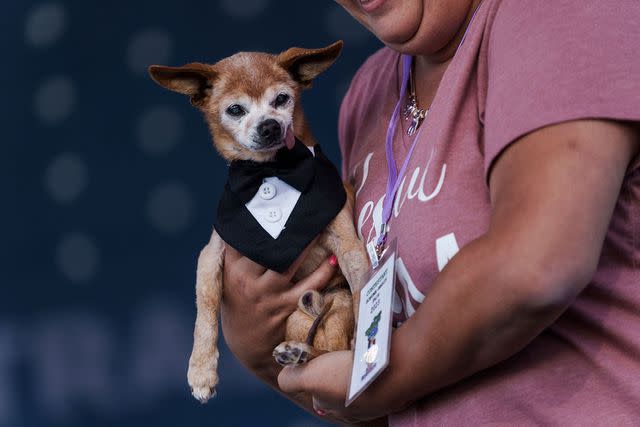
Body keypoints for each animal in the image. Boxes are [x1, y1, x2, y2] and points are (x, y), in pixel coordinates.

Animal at [148, 41, 368, 404]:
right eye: (235, 110)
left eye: (282, 99)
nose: (269, 126)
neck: (271, 171)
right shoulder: (212, 255)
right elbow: (205, 309)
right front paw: (201, 370)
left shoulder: (349, 248)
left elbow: (365, 286)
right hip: (298, 316)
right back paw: (298, 352)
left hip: (334, 303)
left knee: (334, 348)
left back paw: (306, 352)